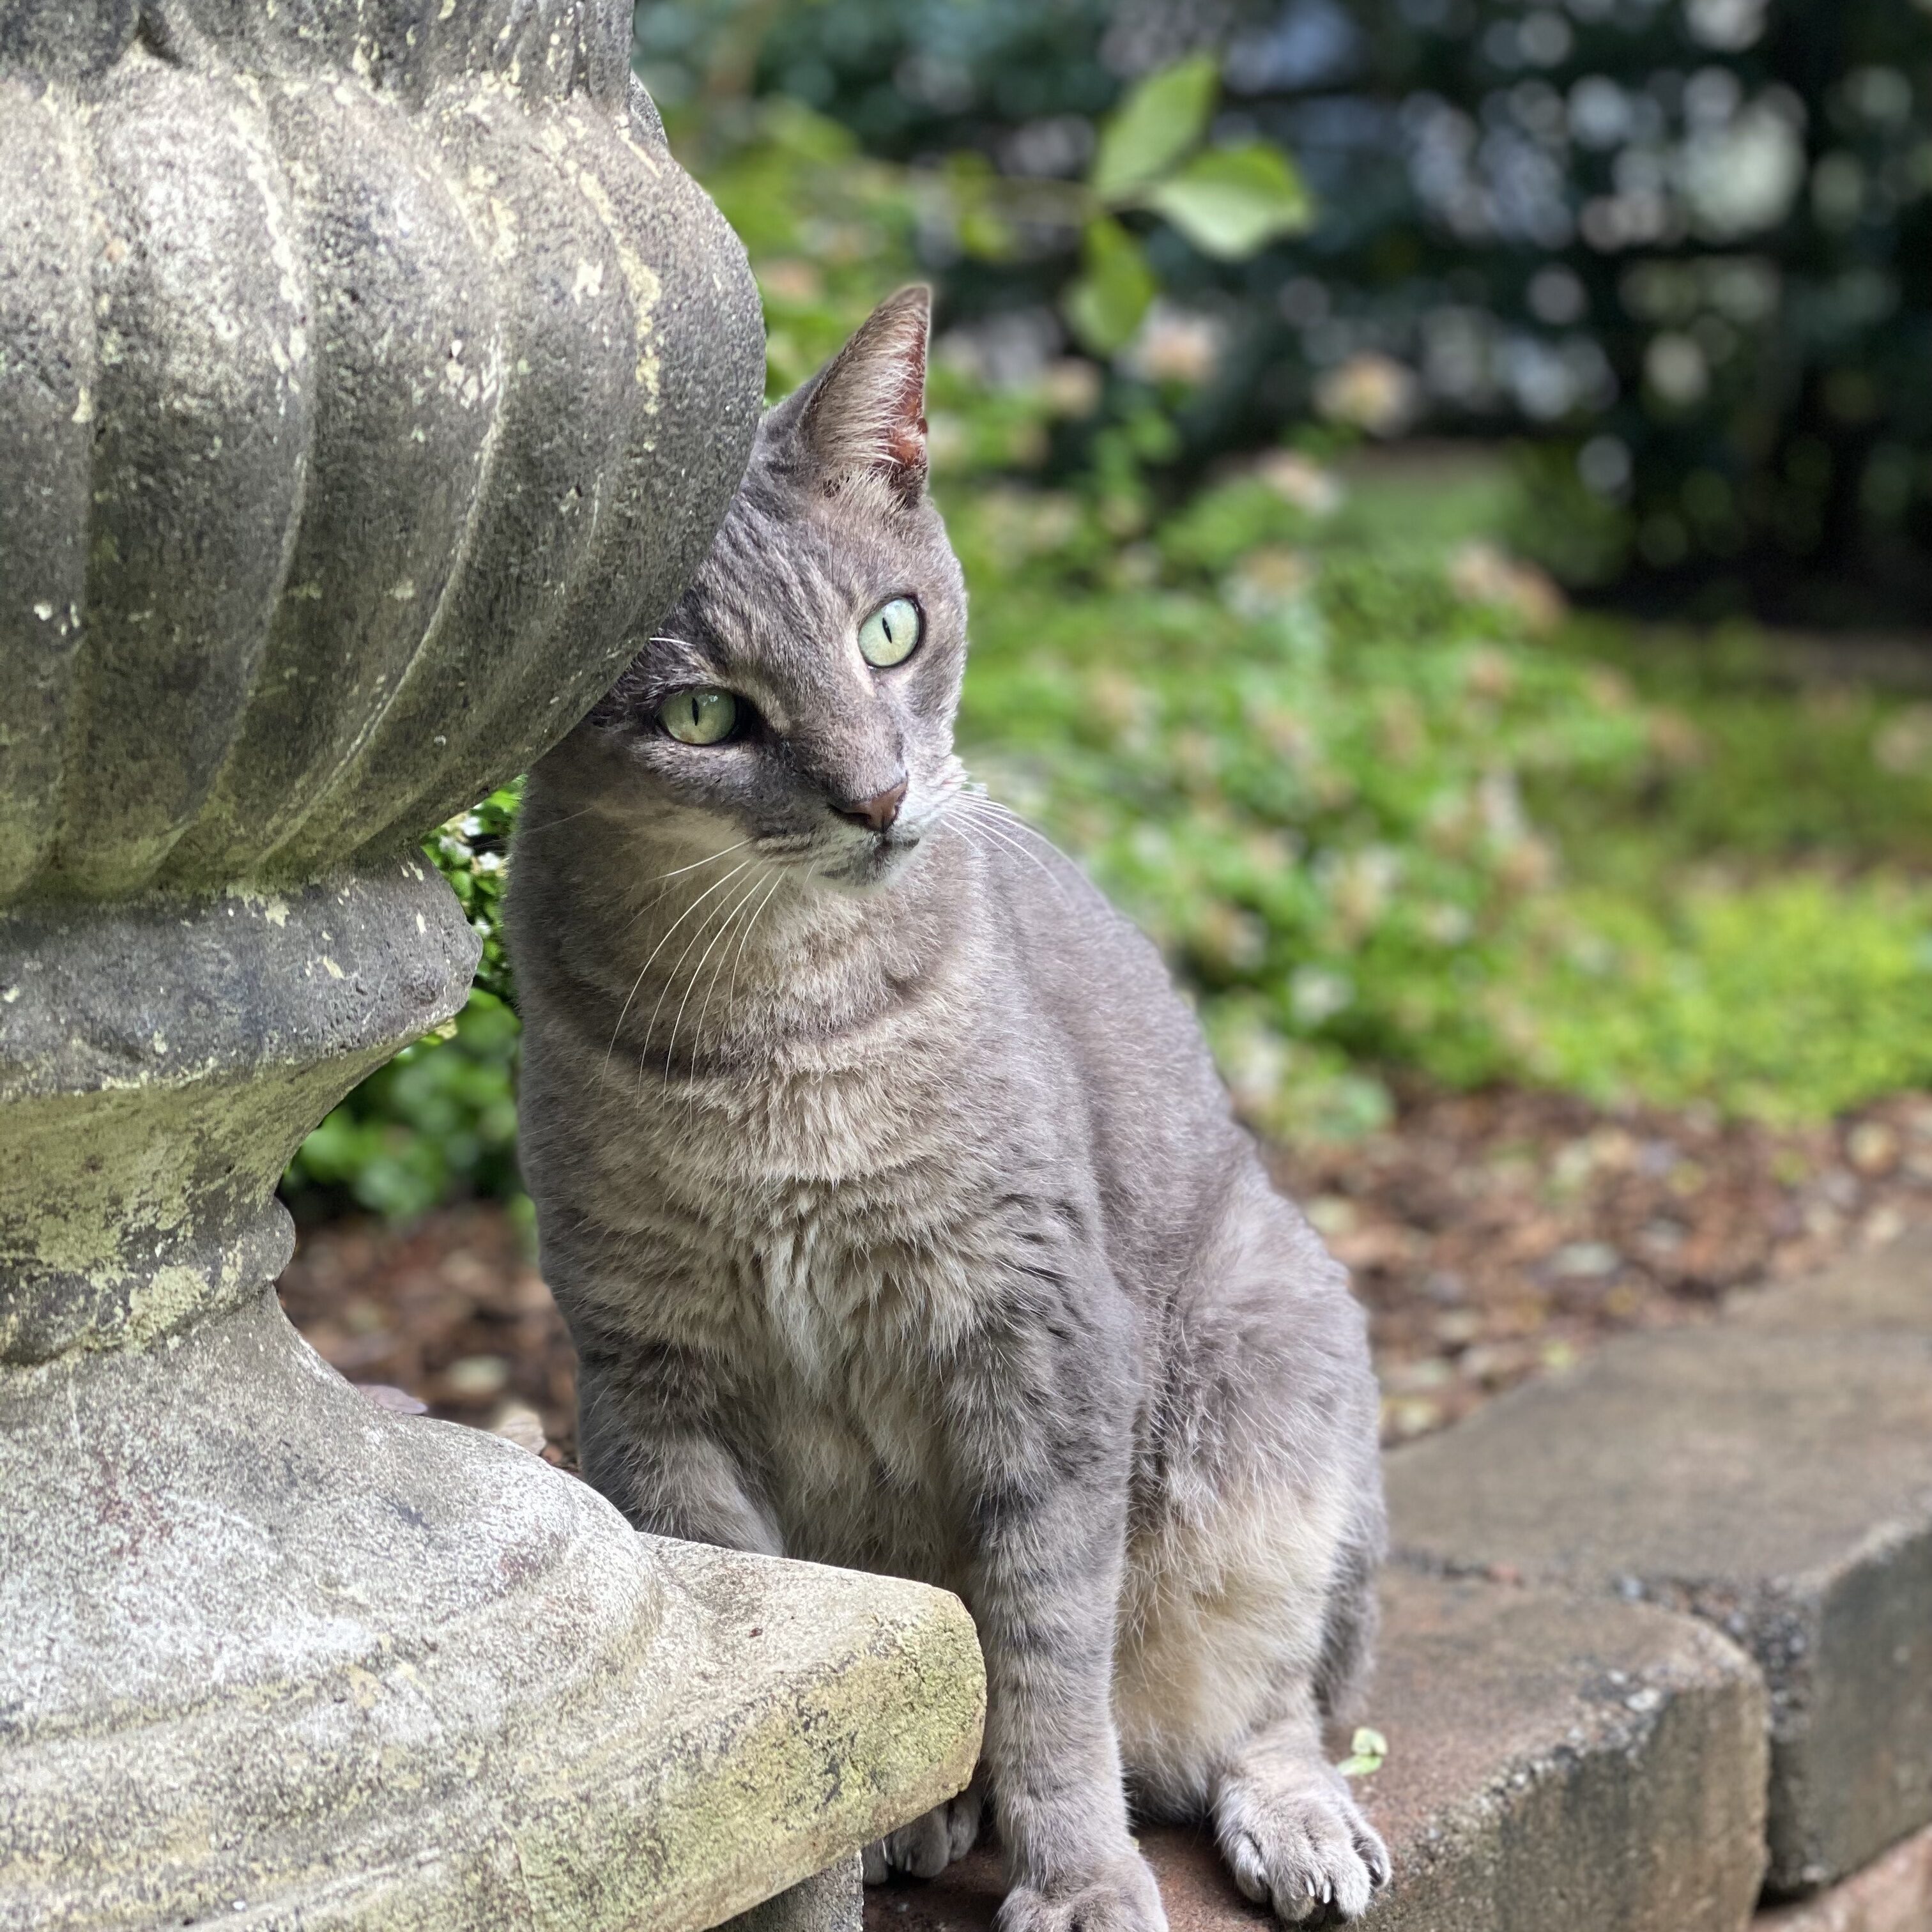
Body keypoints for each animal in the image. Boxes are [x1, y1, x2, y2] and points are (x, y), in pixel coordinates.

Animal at [510, 289, 1391, 1932]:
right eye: (702, 713)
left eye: (891, 629)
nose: (873, 797)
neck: (784, 1039)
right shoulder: (654, 1381)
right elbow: (800, 1692)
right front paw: (826, 1852)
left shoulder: (1034, 1340)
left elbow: (1044, 1660)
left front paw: (1082, 1879)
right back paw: (919, 1818)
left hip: (1266, 1393)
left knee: (1273, 1705)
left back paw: (1293, 1822)